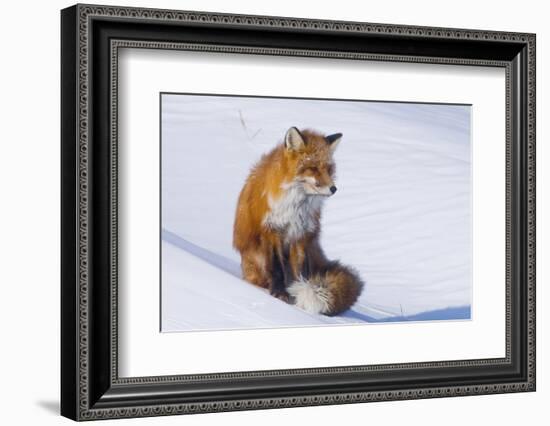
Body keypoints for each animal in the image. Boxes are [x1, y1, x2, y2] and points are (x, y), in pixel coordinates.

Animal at [235, 126, 364, 316]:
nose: (333, 189)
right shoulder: (272, 230)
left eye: (328, 169)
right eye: (312, 168)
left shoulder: (301, 234)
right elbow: (277, 268)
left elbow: (301, 273)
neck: (295, 207)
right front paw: (279, 293)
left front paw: (299, 294)